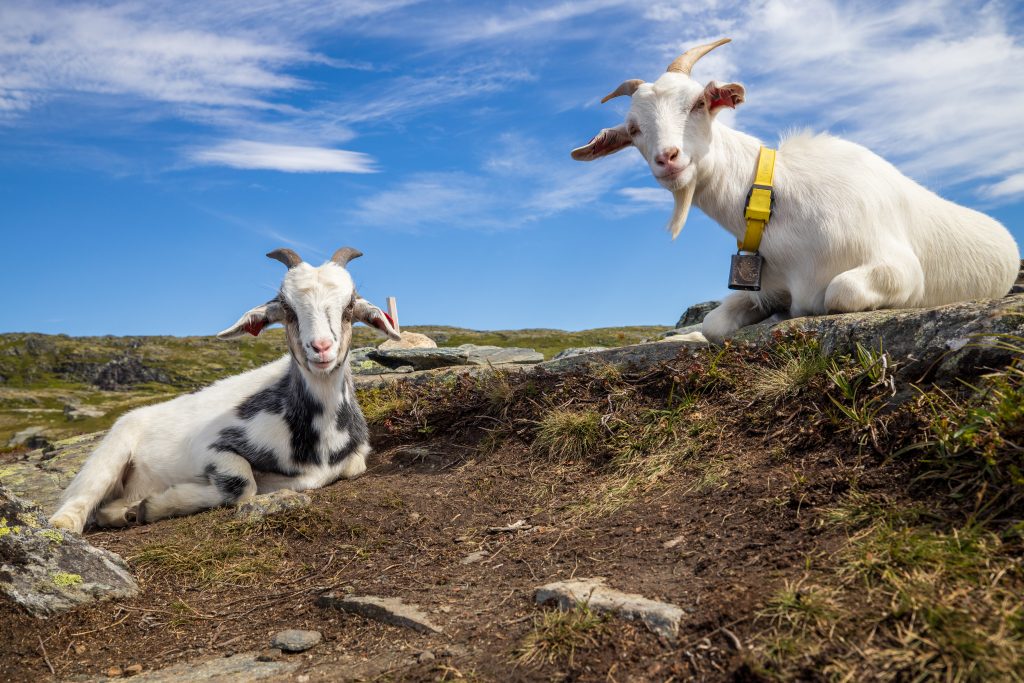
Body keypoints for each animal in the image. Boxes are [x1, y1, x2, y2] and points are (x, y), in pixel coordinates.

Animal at [49, 245, 397, 532]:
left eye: (349, 305)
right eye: (286, 307)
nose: (321, 348)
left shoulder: (354, 459)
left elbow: (350, 467)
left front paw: (147, 506)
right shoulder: (210, 447)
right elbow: (242, 484)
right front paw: (159, 504)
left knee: (106, 509)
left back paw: (126, 511)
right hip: (111, 454)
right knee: (80, 503)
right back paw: (68, 524)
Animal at [573, 37, 1019, 342]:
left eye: (699, 103)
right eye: (633, 130)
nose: (668, 158)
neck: (776, 200)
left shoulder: (902, 269)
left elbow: (839, 291)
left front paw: (791, 314)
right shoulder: (766, 284)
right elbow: (715, 321)